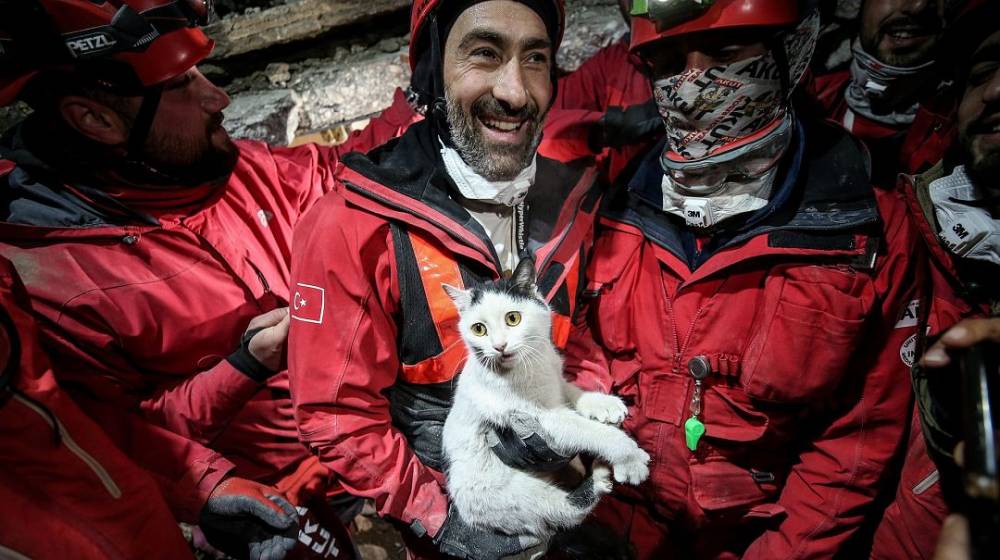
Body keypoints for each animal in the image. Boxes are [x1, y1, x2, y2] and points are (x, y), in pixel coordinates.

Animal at [440, 258, 648, 540]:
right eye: (479, 329)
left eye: (513, 318)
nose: (499, 346)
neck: (532, 363)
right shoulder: (540, 416)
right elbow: (591, 431)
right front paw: (630, 458)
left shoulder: (556, 381)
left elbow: (573, 392)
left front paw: (603, 404)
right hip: (516, 497)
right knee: (567, 510)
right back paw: (598, 477)